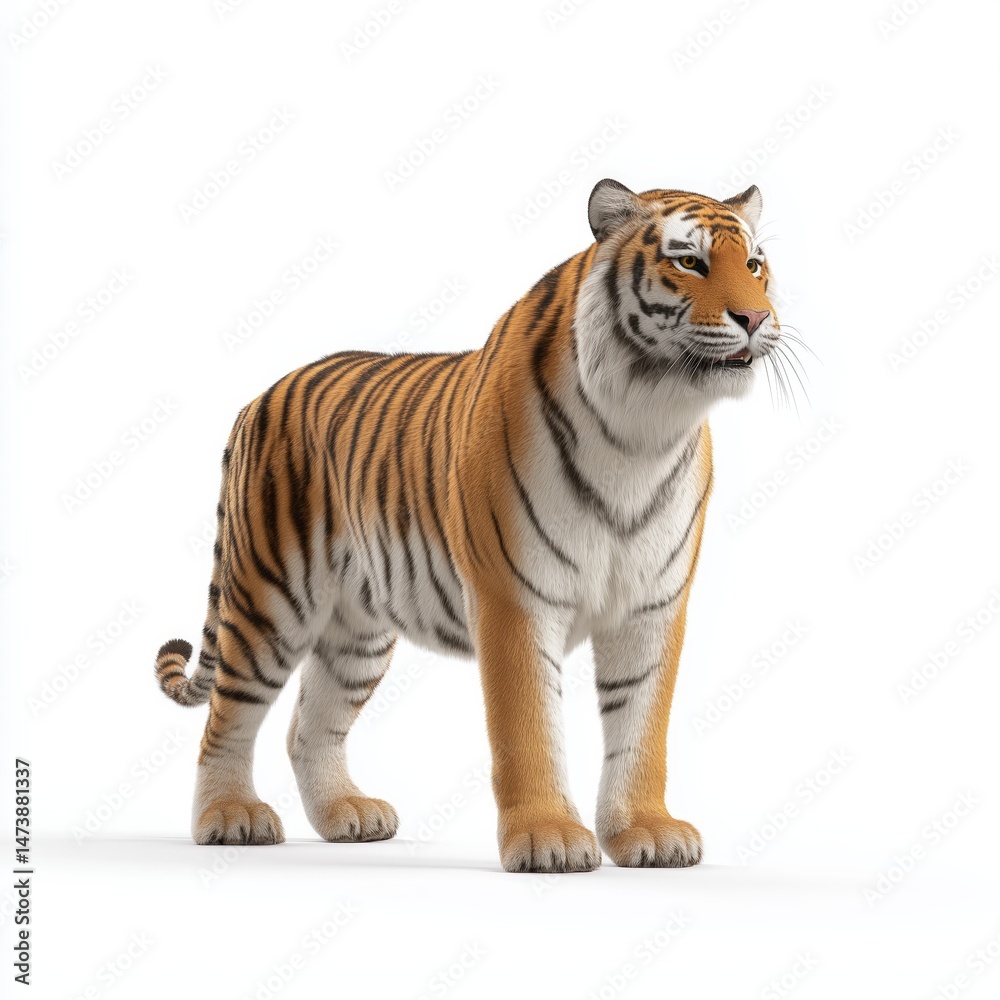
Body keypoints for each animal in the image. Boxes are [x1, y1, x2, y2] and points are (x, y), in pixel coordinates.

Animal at [155, 178, 782, 873]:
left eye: (755, 265)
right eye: (690, 262)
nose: (756, 319)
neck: (644, 430)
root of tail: (256, 397)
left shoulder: (652, 604)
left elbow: (642, 726)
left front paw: (645, 831)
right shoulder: (514, 598)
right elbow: (528, 727)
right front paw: (549, 839)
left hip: (356, 629)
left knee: (307, 726)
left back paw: (348, 815)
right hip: (269, 596)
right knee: (228, 716)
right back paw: (228, 816)